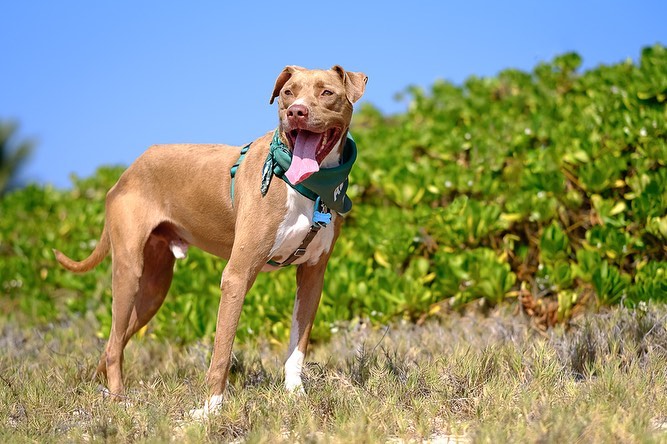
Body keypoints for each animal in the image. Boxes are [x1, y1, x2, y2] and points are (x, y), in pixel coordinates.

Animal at [54, 66, 368, 416]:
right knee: (114, 340)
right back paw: (119, 401)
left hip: (154, 289)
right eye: (289, 92)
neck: (307, 187)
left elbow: (297, 348)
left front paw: (295, 396)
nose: (296, 112)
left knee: (114, 342)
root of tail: (128, 170)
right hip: (129, 272)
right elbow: (222, 352)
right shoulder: (237, 275)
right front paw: (210, 410)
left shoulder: (313, 276)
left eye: (327, 92)